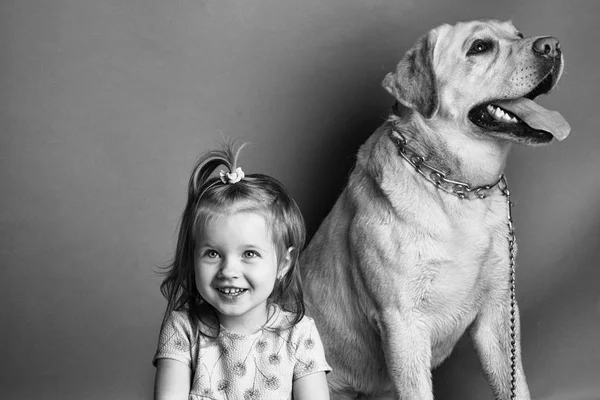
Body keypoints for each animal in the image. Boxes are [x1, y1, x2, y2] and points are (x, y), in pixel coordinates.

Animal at [302, 19, 568, 400]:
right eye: (479, 47)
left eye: (517, 35)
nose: (552, 45)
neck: (461, 190)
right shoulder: (403, 322)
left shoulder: (499, 308)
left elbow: (514, 385)